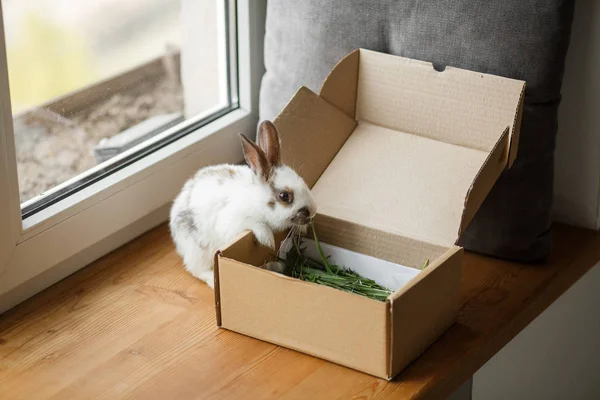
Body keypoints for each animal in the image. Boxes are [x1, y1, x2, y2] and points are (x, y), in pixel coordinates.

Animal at [169, 119, 316, 288]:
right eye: (284, 196)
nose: (313, 211)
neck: (257, 201)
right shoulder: (234, 222)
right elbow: (255, 224)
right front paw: (268, 240)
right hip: (199, 251)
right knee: (195, 270)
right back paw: (212, 280)